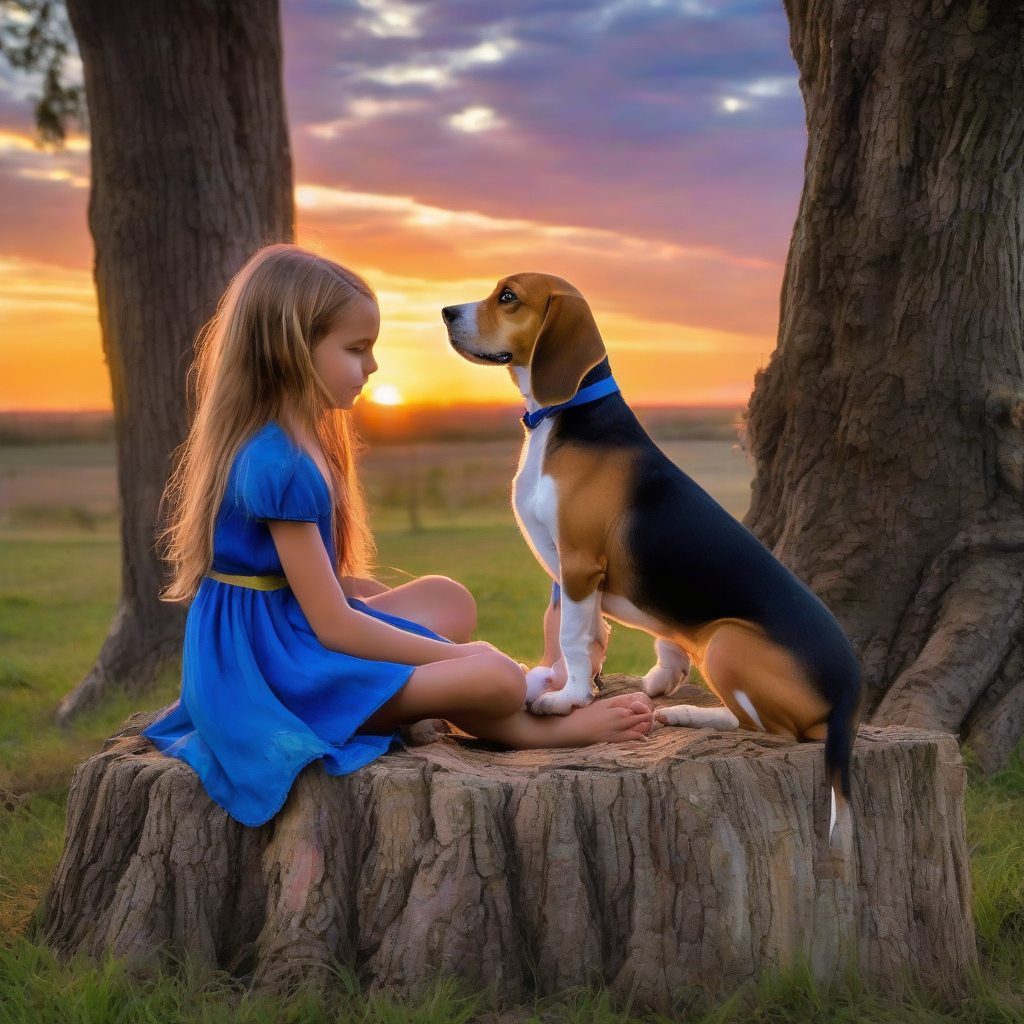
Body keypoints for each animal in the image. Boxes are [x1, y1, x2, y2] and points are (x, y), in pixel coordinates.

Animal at [442, 274, 864, 847]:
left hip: (727, 642)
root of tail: (850, 695)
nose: (445, 312)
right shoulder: (568, 575)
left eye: (508, 297)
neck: (563, 418)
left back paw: (691, 714)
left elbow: (572, 636)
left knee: (775, 732)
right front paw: (573, 682)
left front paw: (568, 699)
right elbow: (589, 634)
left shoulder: (578, 564)